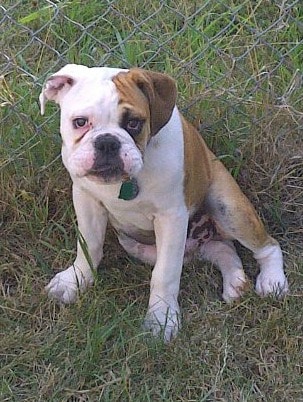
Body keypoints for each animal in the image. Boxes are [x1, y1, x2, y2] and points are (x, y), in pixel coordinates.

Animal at [39, 64, 288, 340]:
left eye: (134, 123)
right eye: (80, 122)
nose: (107, 142)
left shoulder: (171, 218)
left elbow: (165, 273)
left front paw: (161, 319)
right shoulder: (85, 198)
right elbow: (88, 246)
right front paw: (75, 281)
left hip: (229, 208)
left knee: (268, 245)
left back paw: (272, 281)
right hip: (146, 246)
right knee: (223, 249)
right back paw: (234, 281)